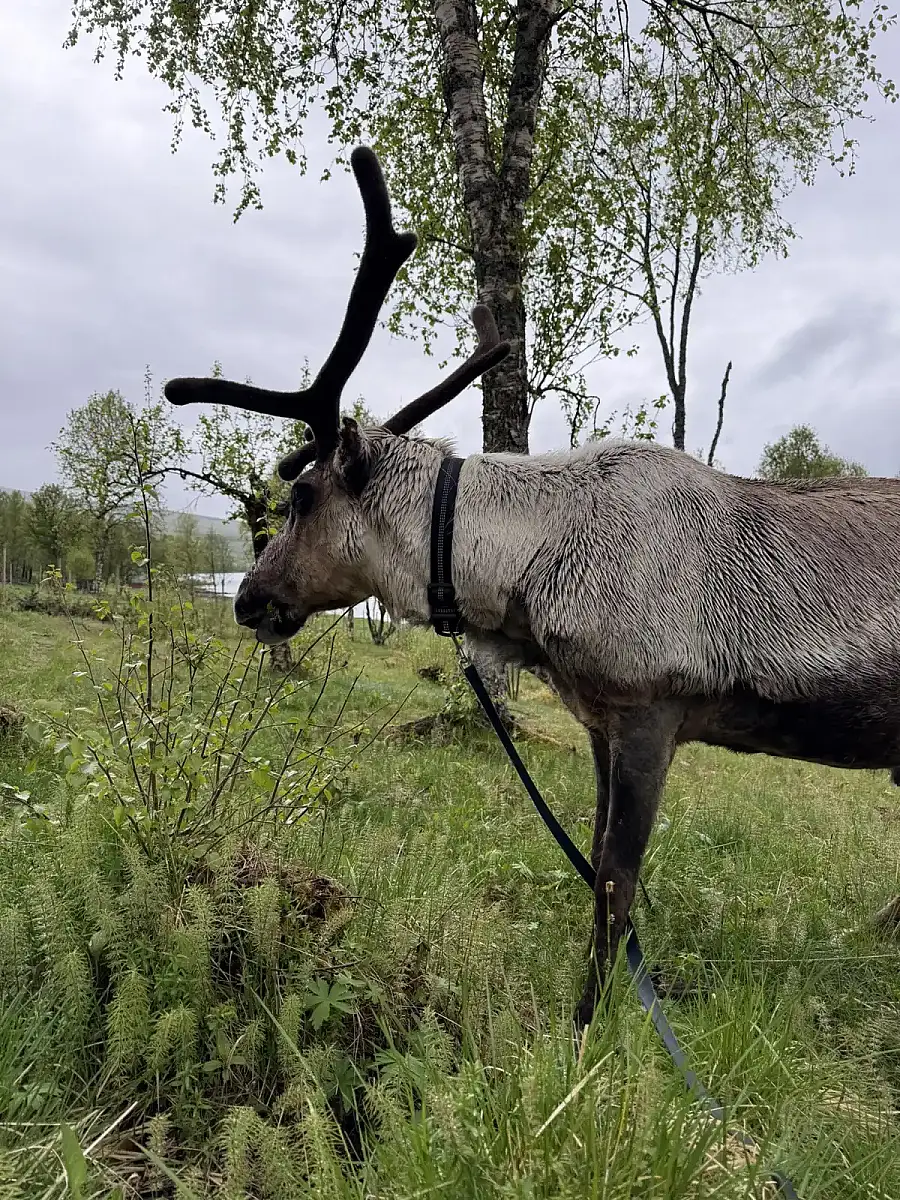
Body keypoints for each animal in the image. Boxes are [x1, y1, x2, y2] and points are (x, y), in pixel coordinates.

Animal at [165, 147, 900, 1030]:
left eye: (304, 496)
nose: (248, 597)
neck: (532, 579)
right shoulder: (600, 722)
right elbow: (598, 866)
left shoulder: (651, 708)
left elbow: (615, 880)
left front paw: (587, 1023)